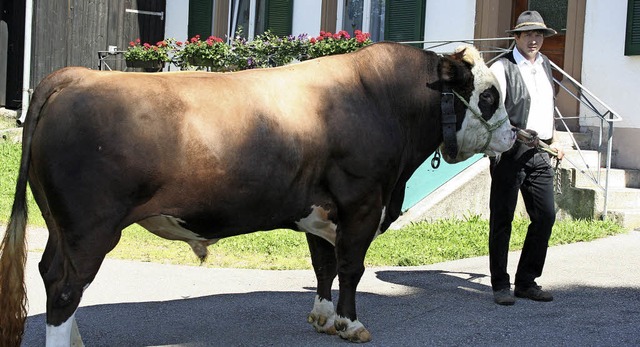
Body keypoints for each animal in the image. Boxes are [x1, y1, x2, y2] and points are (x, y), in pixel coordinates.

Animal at [0, 42, 516, 346]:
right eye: (490, 96)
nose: (515, 137)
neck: (379, 98)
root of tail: (77, 74)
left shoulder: (319, 208)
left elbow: (324, 266)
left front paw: (323, 317)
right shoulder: (362, 201)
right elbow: (351, 267)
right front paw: (350, 324)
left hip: (61, 226)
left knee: (49, 274)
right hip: (90, 228)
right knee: (66, 287)